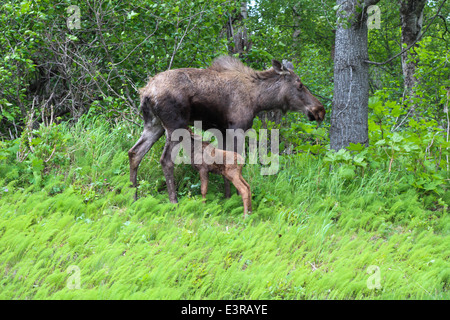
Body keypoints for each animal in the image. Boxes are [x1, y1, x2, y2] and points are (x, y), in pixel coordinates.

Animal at [129, 55, 324, 202]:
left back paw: (133, 196)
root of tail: (146, 92)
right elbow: (237, 162)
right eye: (300, 85)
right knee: (165, 160)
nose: (320, 110)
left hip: (154, 125)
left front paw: (228, 197)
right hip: (175, 126)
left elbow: (225, 164)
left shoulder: (223, 131)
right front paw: (237, 197)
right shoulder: (237, 128)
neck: (259, 99)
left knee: (134, 153)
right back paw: (173, 200)